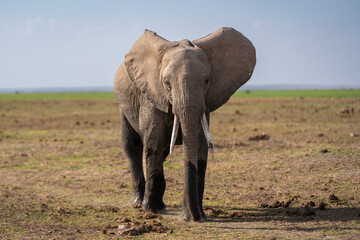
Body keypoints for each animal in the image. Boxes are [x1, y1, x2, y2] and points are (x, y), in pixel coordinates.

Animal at [114, 26, 255, 221]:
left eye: (207, 81)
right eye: (166, 83)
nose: (195, 218)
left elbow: (200, 145)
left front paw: (195, 217)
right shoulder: (152, 95)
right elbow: (154, 144)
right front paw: (151, 211)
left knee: (164, 150)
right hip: (124, 105)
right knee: (132, 145)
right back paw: (139, 203)